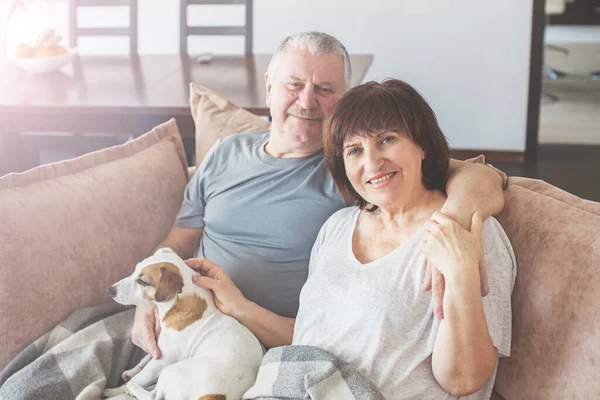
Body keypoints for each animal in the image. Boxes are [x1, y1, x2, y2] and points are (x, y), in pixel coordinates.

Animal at [102, 248, 262, 400]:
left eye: (143, 282)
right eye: (135, 269)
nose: (110, 290)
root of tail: (213, 396)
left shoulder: (161, 362)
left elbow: (139, 377)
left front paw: (115, 390)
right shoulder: (159, 349)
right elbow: (146, 358)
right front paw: (131, 371)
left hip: (169, 371)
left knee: (153, 396)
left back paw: (132, 389)